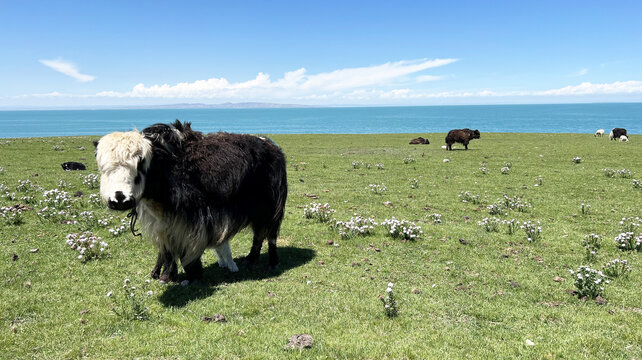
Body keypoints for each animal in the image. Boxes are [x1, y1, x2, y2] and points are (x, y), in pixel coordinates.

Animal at [94, 121, 286, 284]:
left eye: (141, 163)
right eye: (103, 167)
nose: (120, 199)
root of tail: (272, 146)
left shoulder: (191, 219)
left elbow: (186, 246)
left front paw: (193, 274)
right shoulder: (162, 222)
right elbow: (166, 249)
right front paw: (165, 275)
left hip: (272, 206)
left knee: (270, 234)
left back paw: (272, 262)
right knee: (259, 233)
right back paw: (251, 260)